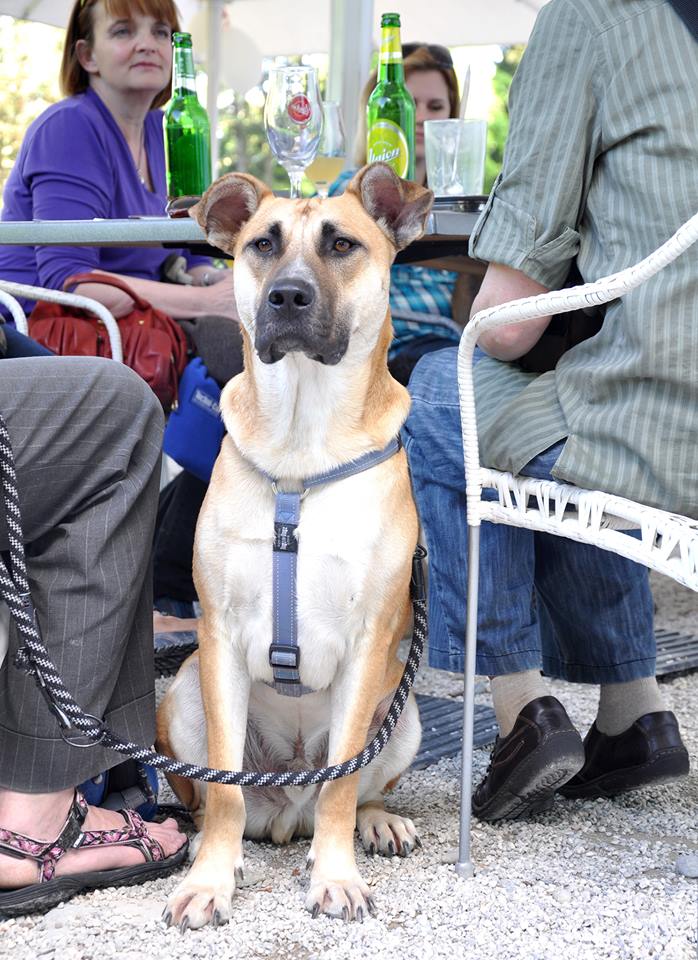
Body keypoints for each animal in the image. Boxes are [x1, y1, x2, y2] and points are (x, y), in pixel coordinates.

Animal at [156, 162, 433, 929]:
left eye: (342, 244)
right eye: (262, 244)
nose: (287, 295)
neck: (302, 449)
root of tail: (288, 808)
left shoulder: (369, 642)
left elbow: (343, 784)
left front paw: (336, 877)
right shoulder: (218, 636)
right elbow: (224, 789)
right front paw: (209, 883)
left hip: (405, 717)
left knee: (351, 790)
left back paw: (375, 823)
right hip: (182, 693)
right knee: (218, 800)